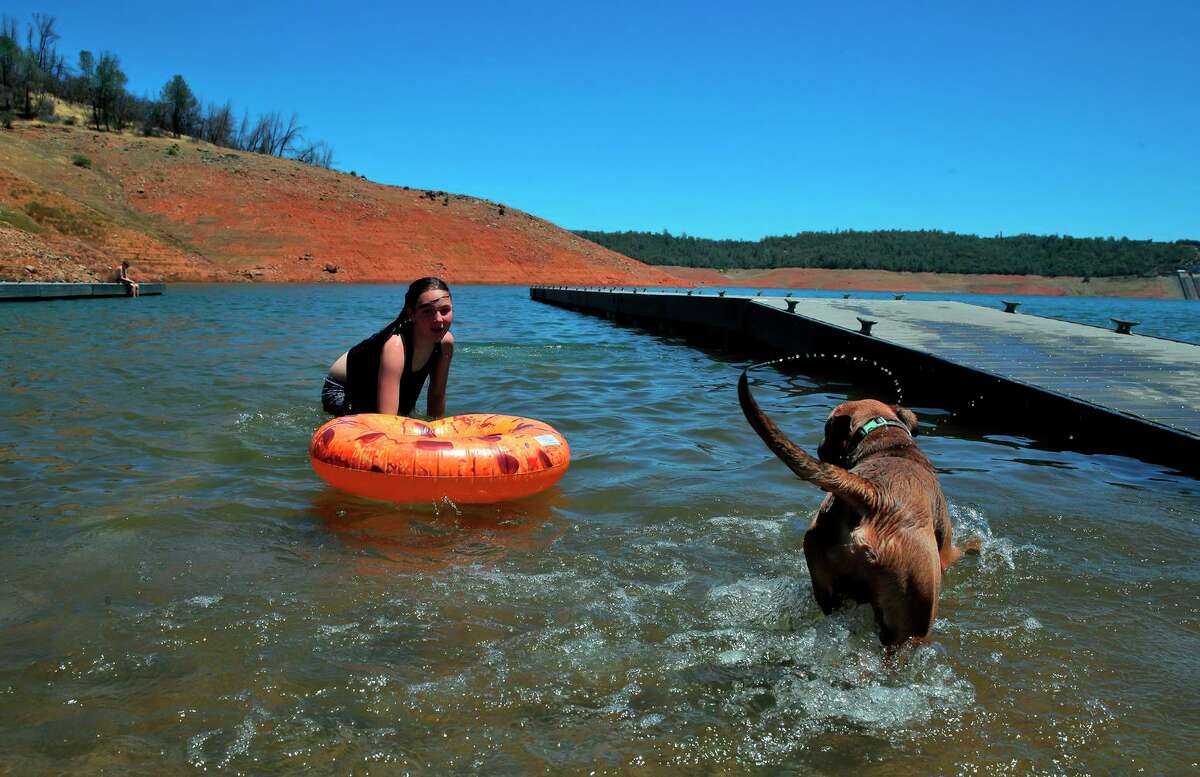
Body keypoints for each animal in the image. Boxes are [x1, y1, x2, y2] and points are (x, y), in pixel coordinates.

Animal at [734, 369, 969, 642]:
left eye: (827, 431)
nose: (819, 448)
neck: (888, 443)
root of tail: (874, 495)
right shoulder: (946, 552)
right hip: (915, 617)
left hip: (826, 580)